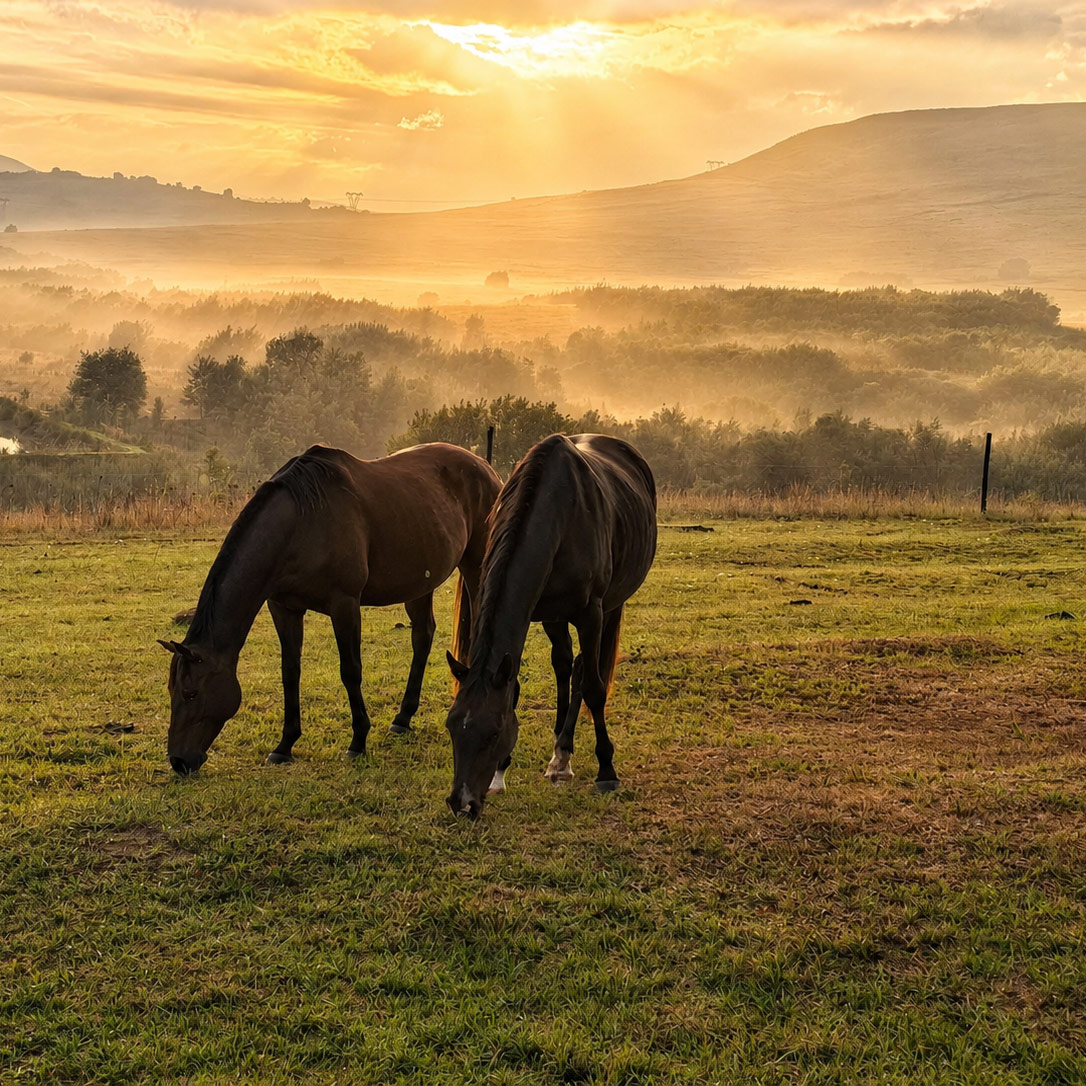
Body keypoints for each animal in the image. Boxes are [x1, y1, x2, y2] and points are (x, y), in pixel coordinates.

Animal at [159, 443, 500, 775]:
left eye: (191, 693)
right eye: (171, 691)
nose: (178, 761)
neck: (302, 523)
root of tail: (486, 467)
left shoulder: (344, 604)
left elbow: (350, 670)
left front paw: (358, 741)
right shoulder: (284, 608)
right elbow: (289, 672)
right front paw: (285, 745)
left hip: (475, 566)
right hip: (418, 582)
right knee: (423, 636)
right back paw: (403, 718)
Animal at [444, 433, 657, 817]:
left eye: (493, 732)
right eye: (452, 726)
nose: (461, 803)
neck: (559, 511)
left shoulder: (591, 613)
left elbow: (594, 688)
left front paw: (607, 770)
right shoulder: (539, 613)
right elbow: (519, 685)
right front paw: (501, 773)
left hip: (611, 606)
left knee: (585, 670)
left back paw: (567, 754)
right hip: (557, 618)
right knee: (566, 665)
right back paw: (560, 751)